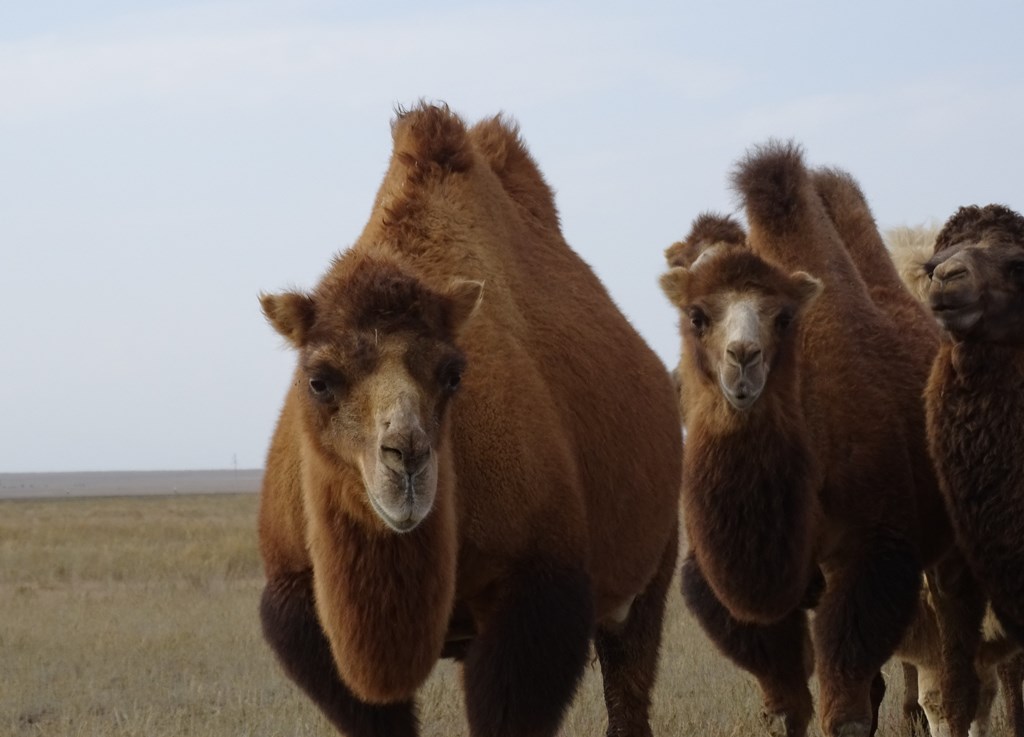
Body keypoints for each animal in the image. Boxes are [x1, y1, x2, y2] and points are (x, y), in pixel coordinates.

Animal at [256, 103, 684, 737]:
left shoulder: (538, 591)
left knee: (629, 682)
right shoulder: (300, 606)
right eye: (318, 379)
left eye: (455, 374)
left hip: (649, 572)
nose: (406, 457)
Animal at [663, 144, 974, 737]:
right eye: (695, 313)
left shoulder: (870, 550)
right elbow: (786, 707)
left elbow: (847, 712)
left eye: (783, 316)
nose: (742, 358)